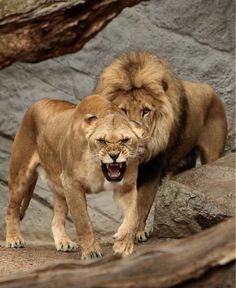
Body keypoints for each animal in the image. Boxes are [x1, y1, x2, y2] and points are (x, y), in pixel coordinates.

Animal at [5, 94, 148, 258]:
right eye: (101, 141)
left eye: (125, 140)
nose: (114, 155)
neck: (99, 169)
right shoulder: (72, 183)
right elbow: (83, 220)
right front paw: (91, 252)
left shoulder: (126, 186)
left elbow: (133, 215)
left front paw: (123, 244)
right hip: (21, 175)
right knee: (12, 208)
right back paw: (14, 239)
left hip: (60, 186)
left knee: (56, 218)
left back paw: (64, 243)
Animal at [94, 51, 229, 241]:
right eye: (123, 111)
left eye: (146, 111)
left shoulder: (153, 169)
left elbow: (142, 203)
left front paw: (138, 232)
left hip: (212, 153)